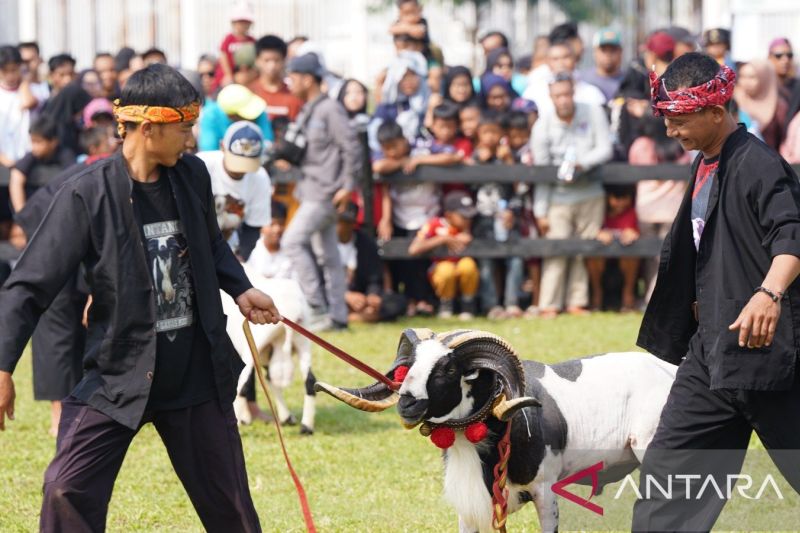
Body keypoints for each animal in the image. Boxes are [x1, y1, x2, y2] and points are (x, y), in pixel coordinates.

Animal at [316, 326, 680, 528]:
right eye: (409, 366)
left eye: (449, 369)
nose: (407, 403)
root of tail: (669, 368)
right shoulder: (471, 503)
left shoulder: (544, 490)